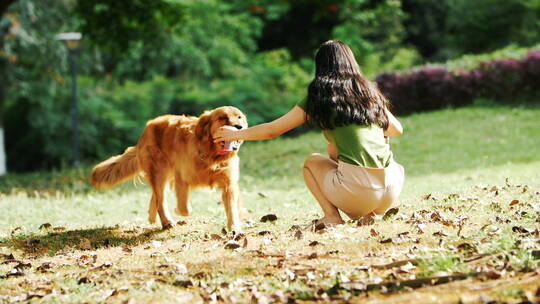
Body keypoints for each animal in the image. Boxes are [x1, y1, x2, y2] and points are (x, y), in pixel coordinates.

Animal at [90, 106, 247, 230]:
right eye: (223, 118)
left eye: (239, 117)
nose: (239, 127)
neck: (212, 156)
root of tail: (149, 125)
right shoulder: (182, 180)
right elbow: (185, 209)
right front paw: (177, 210)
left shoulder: (229, 184)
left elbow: (232, 209)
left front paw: (234, 228)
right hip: (160, 172)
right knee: (161, 200)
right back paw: (166, 221)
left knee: (156, 197)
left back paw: (152, 217)